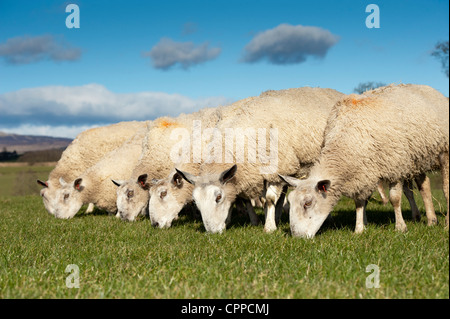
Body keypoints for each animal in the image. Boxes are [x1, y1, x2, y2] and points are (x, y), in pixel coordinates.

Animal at [176, 87, 344, 235]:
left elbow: (268, 199)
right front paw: (256, 220)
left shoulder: (274, 170)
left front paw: (269, 227)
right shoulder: (258, 173)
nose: (212, 232)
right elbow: (254, 199)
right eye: (196, 202)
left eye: (218, 197)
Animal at [280, 84, 448, 239]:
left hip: (441, 152)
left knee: (442, 188)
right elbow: (360, 201)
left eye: (307, 203)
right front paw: (359, 228)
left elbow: (395, 199)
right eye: (290, 202)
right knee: (424, 186)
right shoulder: (362, 172)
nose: (298, 237)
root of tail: (429, 88)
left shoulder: (394, 165)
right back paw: (431, 220)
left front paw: (400, 227)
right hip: (419, 157)